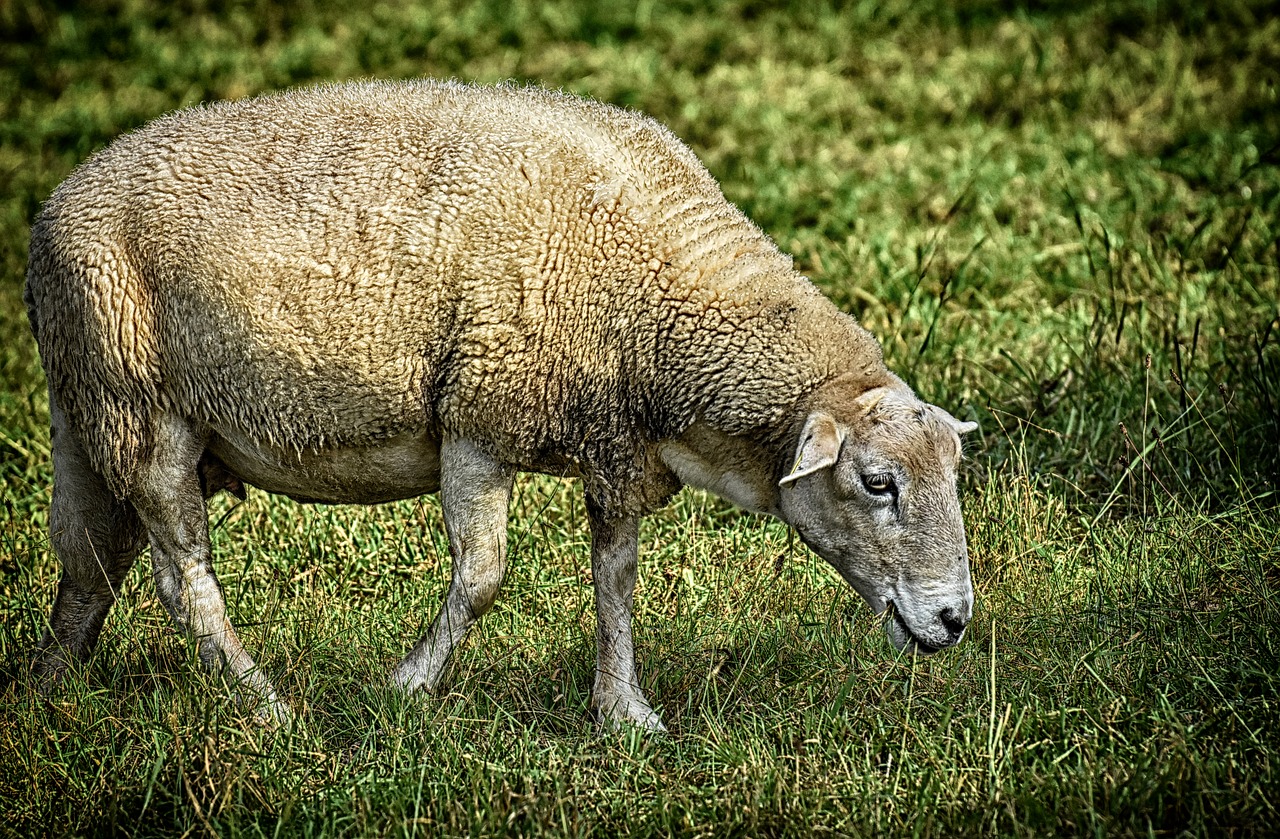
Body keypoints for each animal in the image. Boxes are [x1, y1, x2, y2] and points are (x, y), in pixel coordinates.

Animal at [24, 80, 972, 737]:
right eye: (877, 483)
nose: (954, 618)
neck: (656, 301)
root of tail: (52, 212)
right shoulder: (481, 413)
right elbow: (483, 577)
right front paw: (405, 688)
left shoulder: (614, 438)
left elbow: (616, 578)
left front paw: (624, 713)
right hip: (139, 409)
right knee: (181, 579)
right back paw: (270, 709)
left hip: (85, 410)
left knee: (89, 563)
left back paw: (47, 693)